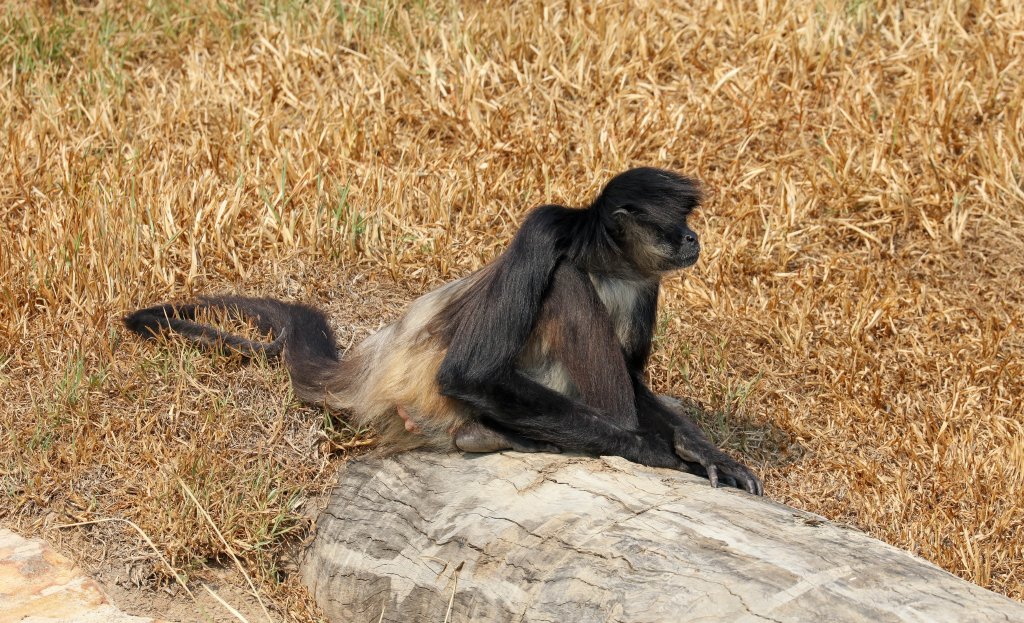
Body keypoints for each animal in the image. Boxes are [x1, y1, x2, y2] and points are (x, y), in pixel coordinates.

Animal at [125, 168, 763, 495]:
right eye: (678, 223)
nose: (693, 239)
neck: (604, 262)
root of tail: (375, 364)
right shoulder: (544, 229)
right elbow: (470, 373)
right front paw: (652, 449)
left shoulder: (644, 280)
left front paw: (703, 450)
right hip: (428, 396)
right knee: (563, 288)